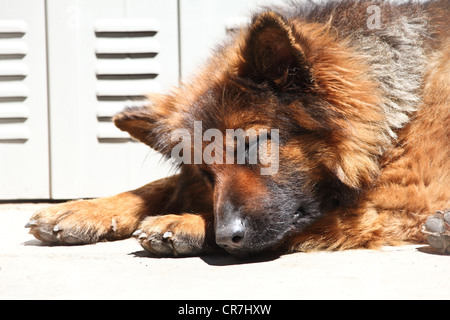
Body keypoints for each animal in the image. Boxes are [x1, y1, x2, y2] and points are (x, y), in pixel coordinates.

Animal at [27, 0, 450, 255]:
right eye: (205, 173)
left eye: (251, 145)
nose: (226, 237)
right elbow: (160, 185)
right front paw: (82, 210)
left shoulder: (402, 200)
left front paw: (187, 222)